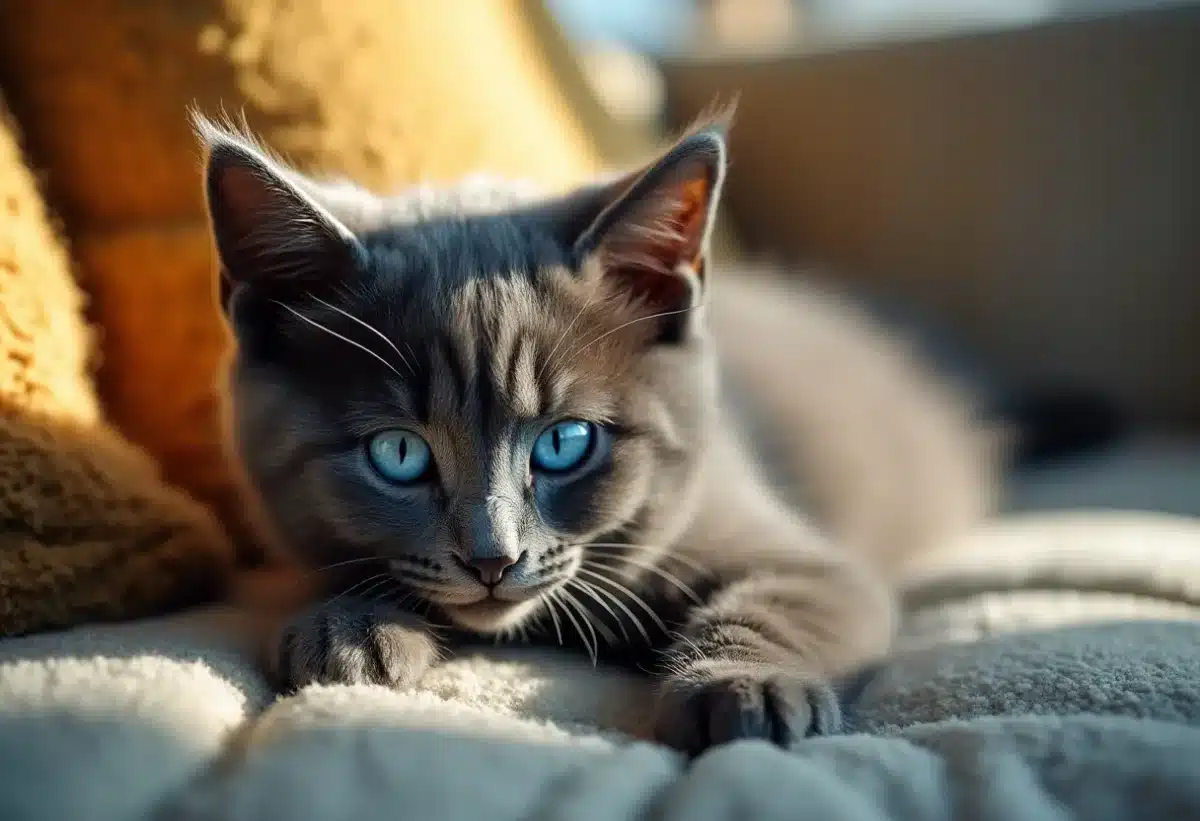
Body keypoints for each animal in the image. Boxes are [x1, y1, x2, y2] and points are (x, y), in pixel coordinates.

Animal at [196, 112, 993, 753]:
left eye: (564, 443)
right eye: (398, 453)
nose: (492, 557)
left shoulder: (801, 557)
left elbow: (786, 603)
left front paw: (744, 685)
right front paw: (351, 627)